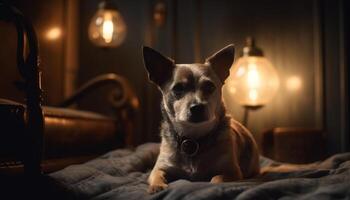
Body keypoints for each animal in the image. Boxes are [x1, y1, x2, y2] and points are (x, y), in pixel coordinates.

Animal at [142, 44, 260, 194]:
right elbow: (156, 175)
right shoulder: (160, 168)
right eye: (178, 88)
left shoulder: (232, 171)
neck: (193, 138)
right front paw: (157, 186)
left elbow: (216, 178)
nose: (197, 107)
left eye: (210, 87)